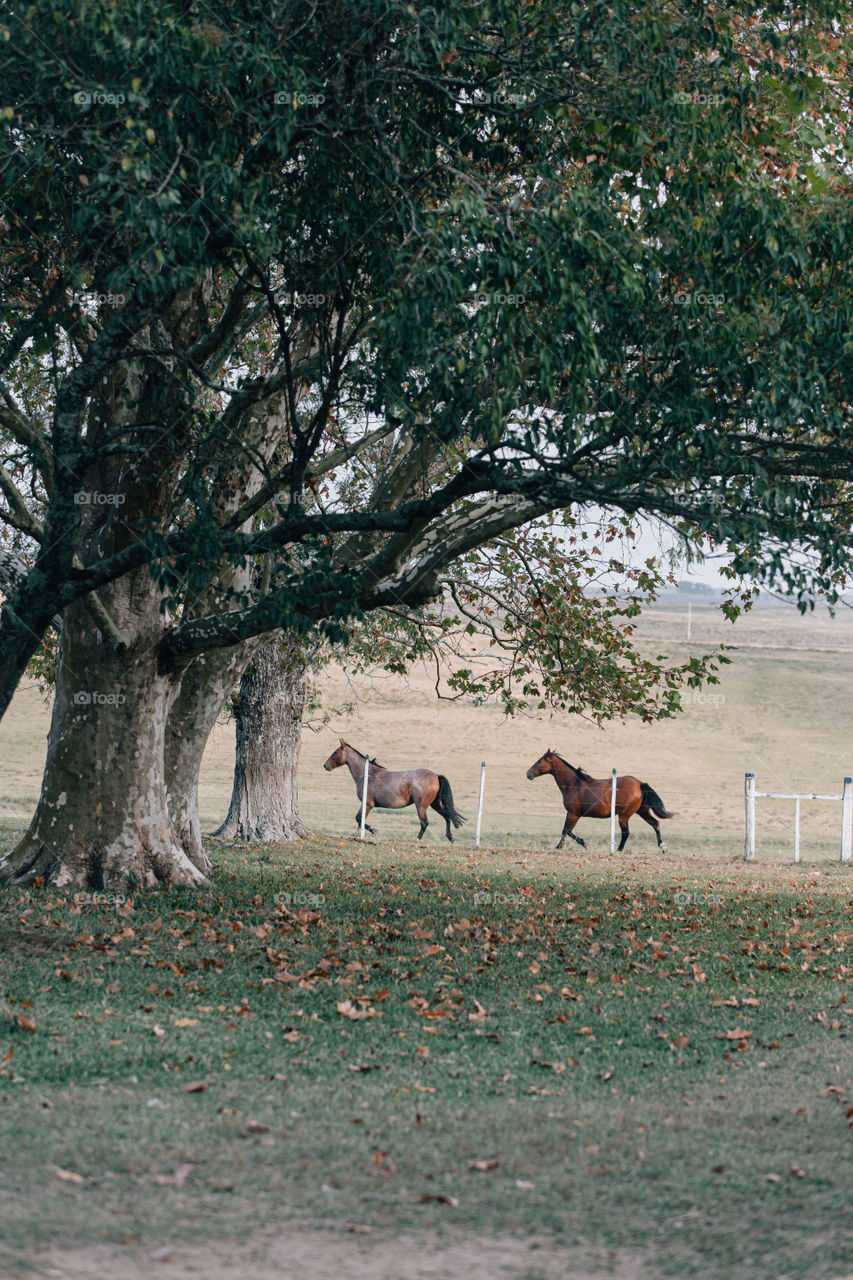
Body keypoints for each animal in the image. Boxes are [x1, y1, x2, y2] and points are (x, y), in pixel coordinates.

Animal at [323, 739, 466, 842]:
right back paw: (450, 838)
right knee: (447, 817)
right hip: (435, 804)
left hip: (421, 806)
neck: (368, 774)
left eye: (335, 752)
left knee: (424, 823)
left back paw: (417, 840)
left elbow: (359, 819)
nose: (325, 766)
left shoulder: (368, 804)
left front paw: (374, 831)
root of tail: (436, 776)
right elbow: (359, 821)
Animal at [526, 750, 673, 852]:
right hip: (642, 811)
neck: (573, 784)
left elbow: (566, 831)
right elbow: (566, 831)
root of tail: (640, 784)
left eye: (539, 761)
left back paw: (619, 850)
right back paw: (663, 847)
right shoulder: (574, 814)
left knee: (626, 832)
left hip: (624, 815)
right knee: (655, 823)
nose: (528, 774)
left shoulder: (573, 814)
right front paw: (562, 846)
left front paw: (579, 845)